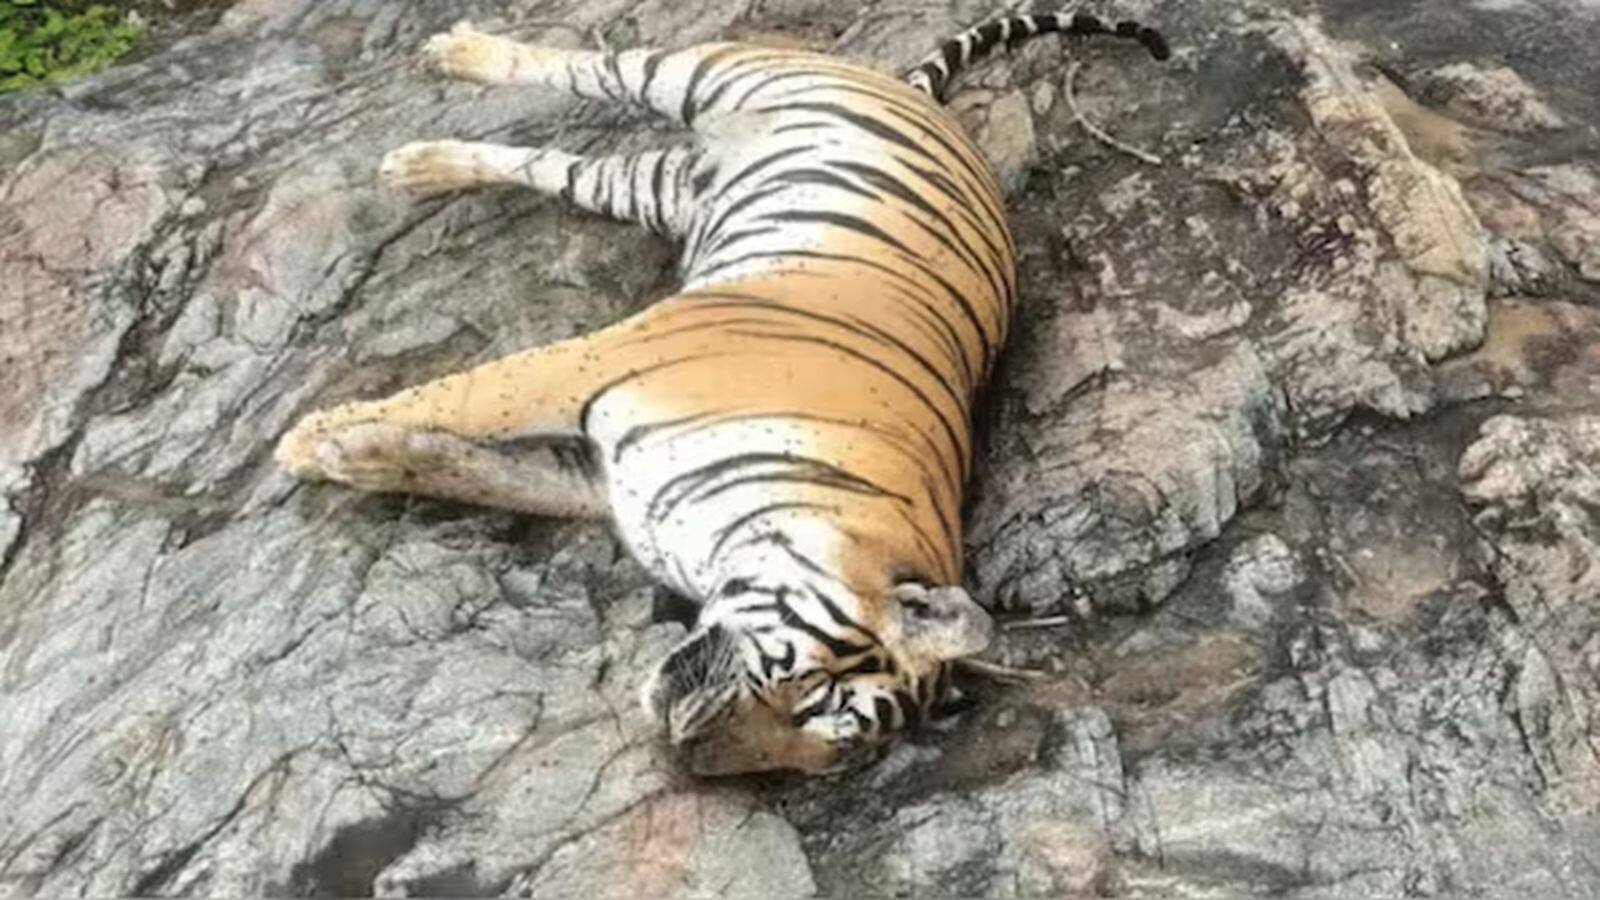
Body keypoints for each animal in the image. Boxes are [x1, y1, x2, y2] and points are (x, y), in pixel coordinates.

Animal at [275, 10, 1169, 775]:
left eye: (824, 750)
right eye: (808, 690)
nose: (689, 753)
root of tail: (919, 97)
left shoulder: (595, 481)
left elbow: (471, 470)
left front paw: (355, 456)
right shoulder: (592, 364)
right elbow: (463, 396)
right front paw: (307, 439)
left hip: (653, 187)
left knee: (555, 167)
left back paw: (420, 167)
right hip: (703, 73)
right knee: (587, 65)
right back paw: (453, 55)